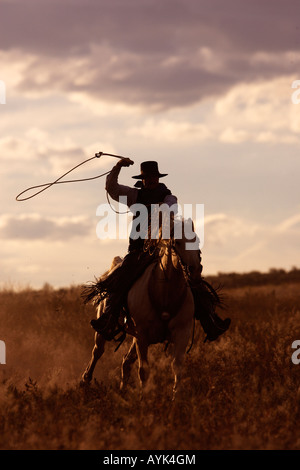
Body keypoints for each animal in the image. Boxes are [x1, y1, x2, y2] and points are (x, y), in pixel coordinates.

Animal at [81, 218, 202, 398]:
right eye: (177, 242)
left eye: (197, 240)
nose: (195, 270)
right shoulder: (142, 335)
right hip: (105, 332)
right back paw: (85, 382)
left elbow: (177, 367)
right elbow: (144, 370)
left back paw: (123, 392)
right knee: (97, 352)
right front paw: (143, 399)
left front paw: (176, 398)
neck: (164, 294)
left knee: (126, 362)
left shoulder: (182, 332)